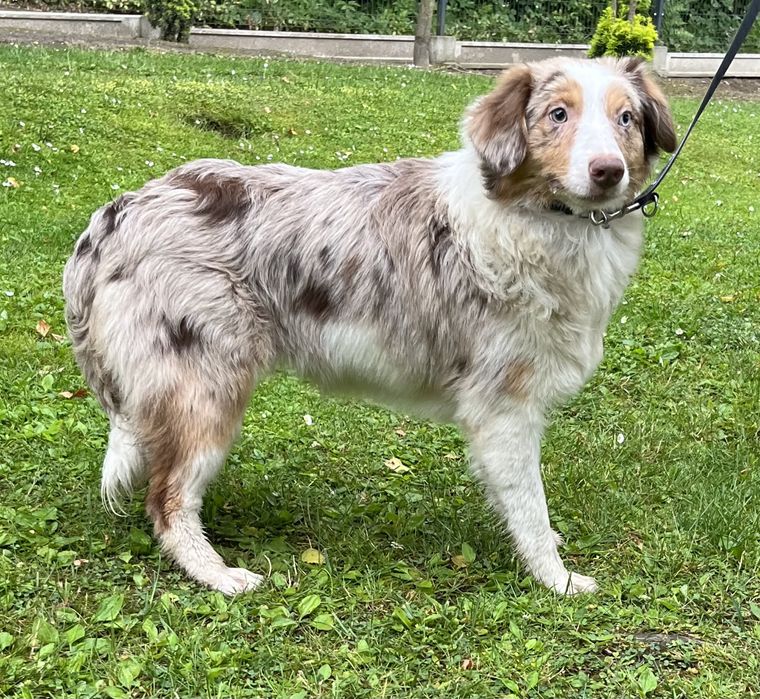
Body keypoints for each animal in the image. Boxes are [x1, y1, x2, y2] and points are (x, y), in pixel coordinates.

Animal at [62, 57, 672, 600]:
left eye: (626, 118)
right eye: (557, 114)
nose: (607, 170)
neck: (541, 219)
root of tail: (117, 214)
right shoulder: (504, 406)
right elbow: (528, 503)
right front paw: (557, 579)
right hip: (206, 389)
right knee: (168, 499)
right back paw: (217, 575)